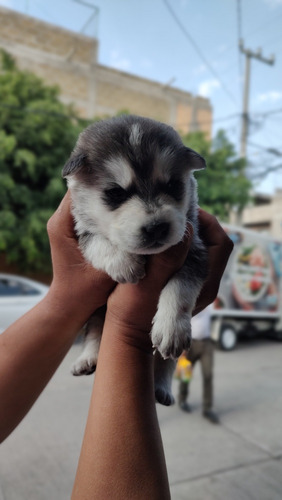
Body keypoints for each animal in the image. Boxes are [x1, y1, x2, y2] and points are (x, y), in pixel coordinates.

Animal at [62, 114, 207, 406]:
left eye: (173, 186)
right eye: (116, 193)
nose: (156, 227)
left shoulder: (194, 247)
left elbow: (180, 289)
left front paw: (171, 326)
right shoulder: (81, 232)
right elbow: (99, 242)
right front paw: (124, 264)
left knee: (165, 360)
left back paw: (161, 387)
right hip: (95, 308)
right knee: (95, 330)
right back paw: (87, 358)